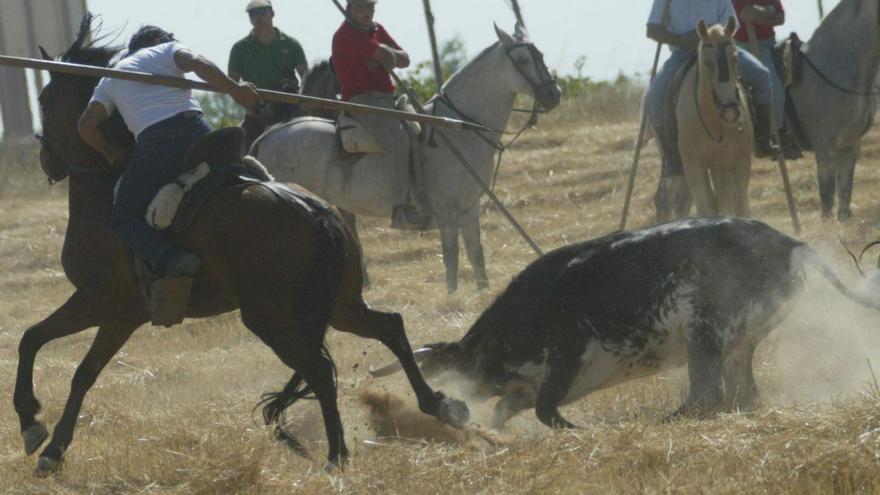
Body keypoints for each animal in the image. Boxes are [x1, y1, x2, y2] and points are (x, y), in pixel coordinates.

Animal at [15, 16, 468, 476]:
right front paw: (34, 425)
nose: (46, 160)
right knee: (388, 328)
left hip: (270, 315)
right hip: (340, 305)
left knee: (320, 369)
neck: (108, 186)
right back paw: (437, 404)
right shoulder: (99, 304)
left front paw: (49, 443)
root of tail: (313, 211)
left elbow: (75, 367)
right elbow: (34, 338)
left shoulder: (112, 307)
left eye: (46, 99)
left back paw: (337, 454)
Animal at [251, 24, 560, 294]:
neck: (459, 130)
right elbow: (452, 259)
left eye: (541, 54)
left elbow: (476, 256)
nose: (553, 95)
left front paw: (483, 294)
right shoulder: (447, 212)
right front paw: (452, 296)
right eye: (521, 59)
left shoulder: (469, 208)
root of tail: (264, 139)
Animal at [370, 218, 880, 430]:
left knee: (706, 392)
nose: (455, 402)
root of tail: (791, 243)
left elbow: (545, 410)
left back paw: (665, 419)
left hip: (705, 333)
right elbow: (510, 410)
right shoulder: (536, 385)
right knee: (740, 393)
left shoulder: (565, 356)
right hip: (738, 342)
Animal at [676, 19, 752, 217]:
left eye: (735, 59)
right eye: (707, 63)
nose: (730, 113)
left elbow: (741, 206)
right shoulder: (693, 164)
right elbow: (706, 206)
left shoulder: (740, 161)